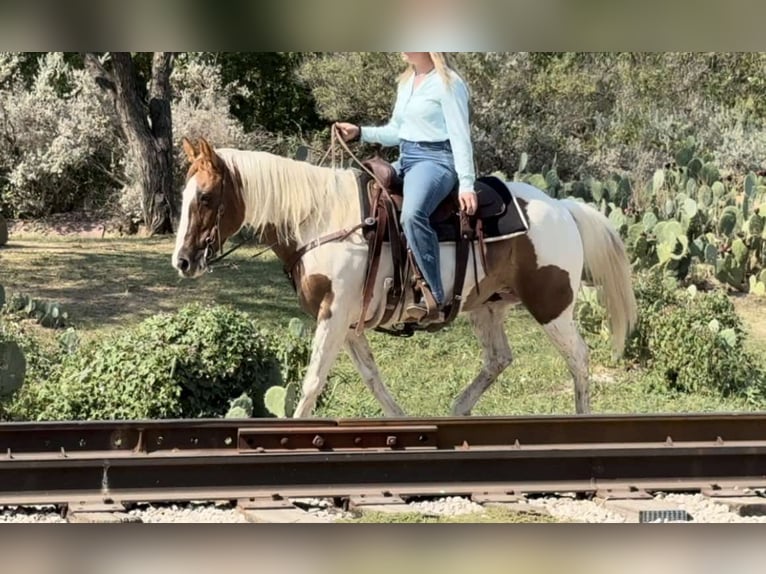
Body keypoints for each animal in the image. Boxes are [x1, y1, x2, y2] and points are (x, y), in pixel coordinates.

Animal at [171, 136, 637, 418]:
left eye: (207, 197)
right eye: (184, 195)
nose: (182, 261)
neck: (321, 219)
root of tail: (563, 207)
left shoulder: (333, 315)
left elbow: (312, 382)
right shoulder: (349, 322)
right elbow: (372, 379)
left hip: (551, 305)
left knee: (578, 358)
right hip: (489, 306)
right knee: (498, 359)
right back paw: (458, 410)